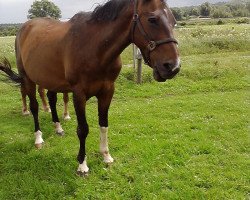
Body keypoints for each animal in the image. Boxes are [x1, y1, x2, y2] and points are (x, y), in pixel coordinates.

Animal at [0, 0, 180, 175]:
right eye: (152, 19)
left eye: (173, 21)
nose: (173, 67)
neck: (95, 48)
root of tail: (24, 28)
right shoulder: (79, 94)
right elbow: (83, 129)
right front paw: (82, 165)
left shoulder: (107, 91)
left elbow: (104, 124)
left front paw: (106, 156)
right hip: (28, 79)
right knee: (35, 107)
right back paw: (38, 138)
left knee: (51, 99)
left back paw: (58, 128)